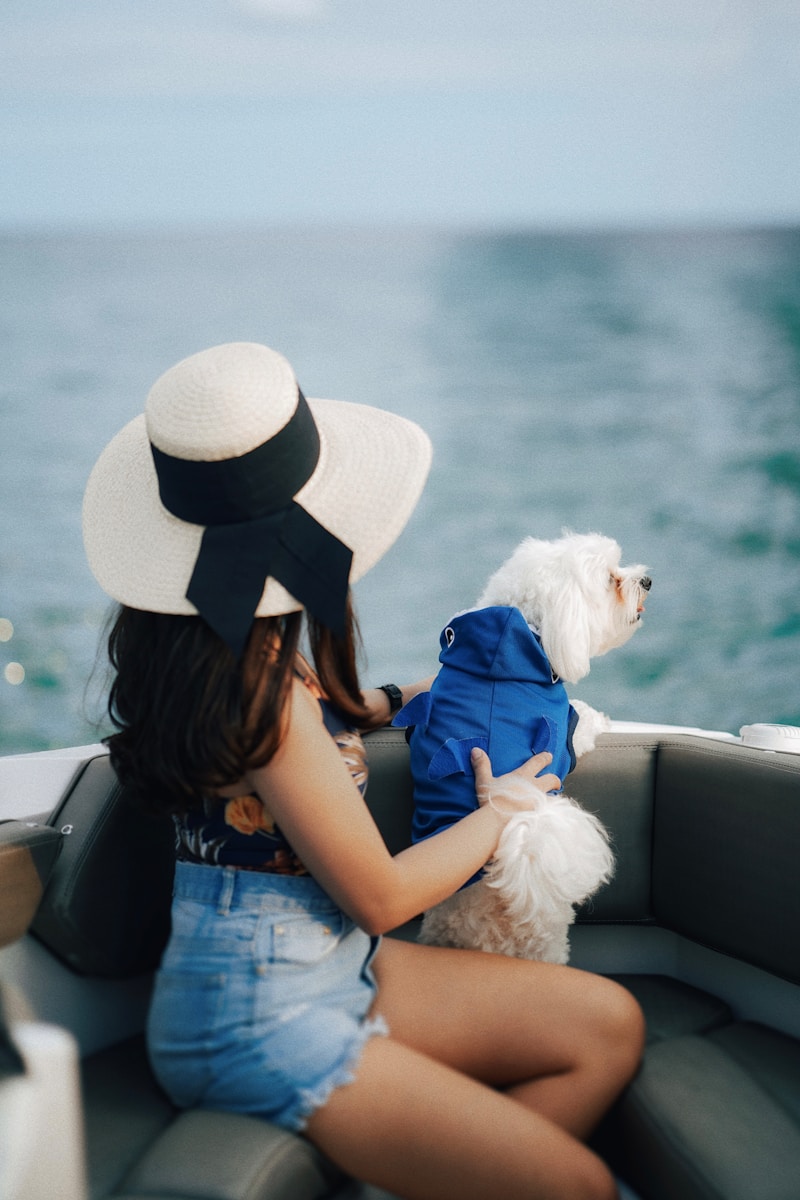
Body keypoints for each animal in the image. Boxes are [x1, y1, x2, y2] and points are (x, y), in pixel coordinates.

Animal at [393, 535, 652, 964]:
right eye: (609, 579)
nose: (646, 580)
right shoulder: (565, 731)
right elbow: (582, 721)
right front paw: (598, 716)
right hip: (549, 941)